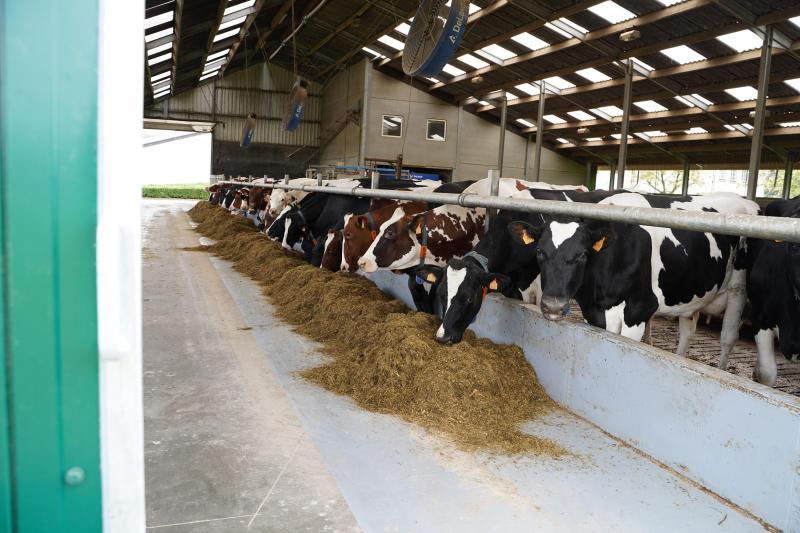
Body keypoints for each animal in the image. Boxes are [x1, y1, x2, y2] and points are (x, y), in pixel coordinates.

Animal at [512, 192, 756, 366]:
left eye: (582, 254)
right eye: (539, 252)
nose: (553, 306)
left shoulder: (637, 311)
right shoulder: (594, 313)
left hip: (738, 289)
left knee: (728, 337)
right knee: (688, 331)